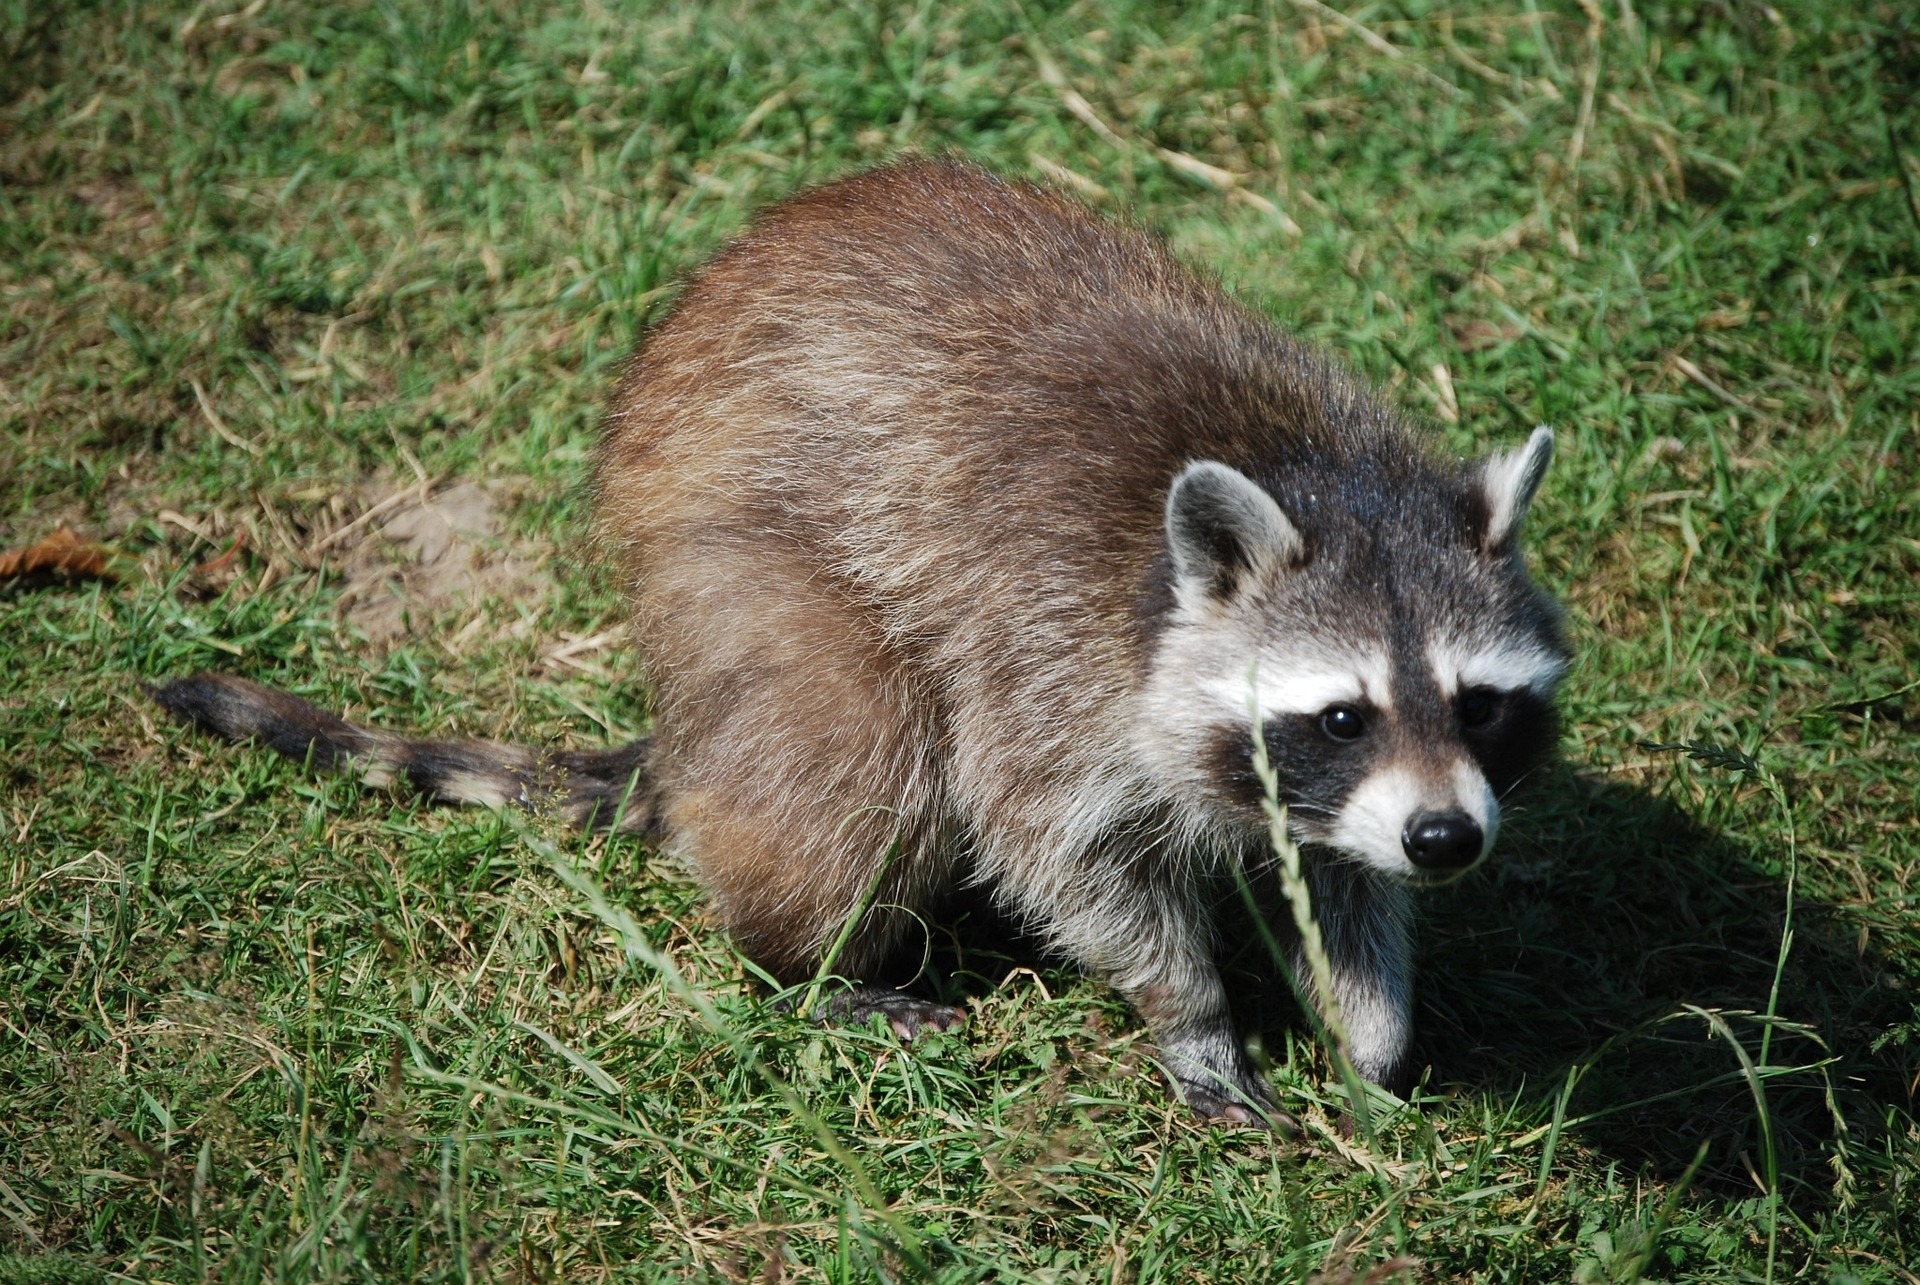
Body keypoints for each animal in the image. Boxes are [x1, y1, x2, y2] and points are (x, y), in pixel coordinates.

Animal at [153, 159, 1567, 1123]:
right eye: (1340, 714)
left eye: (1479, 703)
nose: (1449, 839)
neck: (1314, 475)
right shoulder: (1048, 654)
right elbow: (1056, 851)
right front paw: (1195, 1013)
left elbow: (1337, 871)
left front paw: (1369, 1022)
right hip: (734, 579)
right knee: (856, 749)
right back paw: (803, 964)